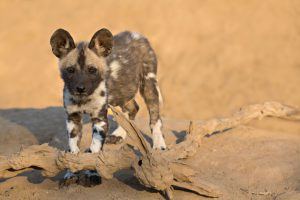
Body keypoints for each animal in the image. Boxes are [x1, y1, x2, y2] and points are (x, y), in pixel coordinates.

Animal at [49, 28, 166, 156]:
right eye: (70, 70)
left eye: (92, 70)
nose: (80, 88)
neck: (83, 99)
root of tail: (136, 34)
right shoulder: (73, 117)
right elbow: (73, 141)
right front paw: (73, 155)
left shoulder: (99, 119)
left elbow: (95, 146)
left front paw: (92, 156)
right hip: (123, 94)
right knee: (133, 108)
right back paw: (118, 135)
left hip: (148, 85)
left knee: (155, 118)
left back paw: (159, 144)